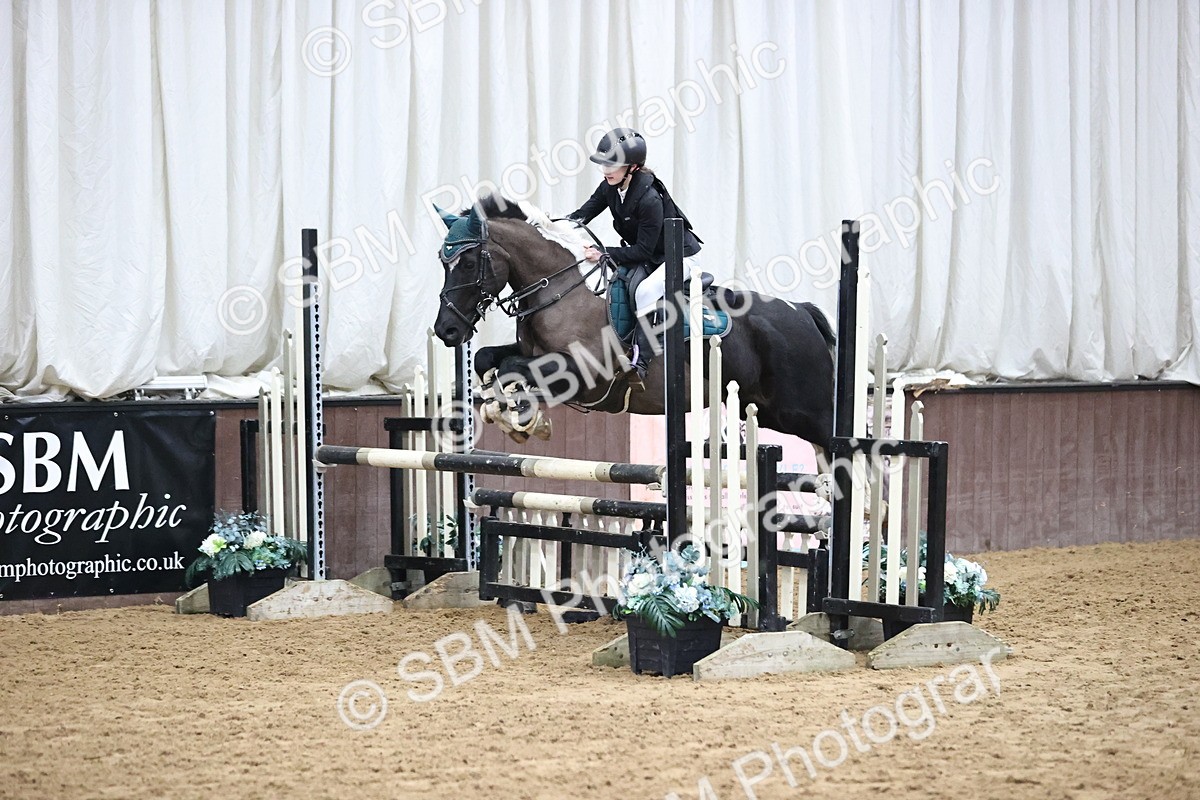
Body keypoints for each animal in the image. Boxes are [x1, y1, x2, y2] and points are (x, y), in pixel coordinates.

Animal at [431, 194, 836, 459]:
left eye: (469, 263)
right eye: (442, 261)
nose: (446, 330)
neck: (562, 287)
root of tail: (802, 311)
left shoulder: (584, 373)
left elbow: (514, 368)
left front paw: (523, 419)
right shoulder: (533, 354)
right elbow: (489, 359)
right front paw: (504, 410)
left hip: (802, 410)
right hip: (769, 409)